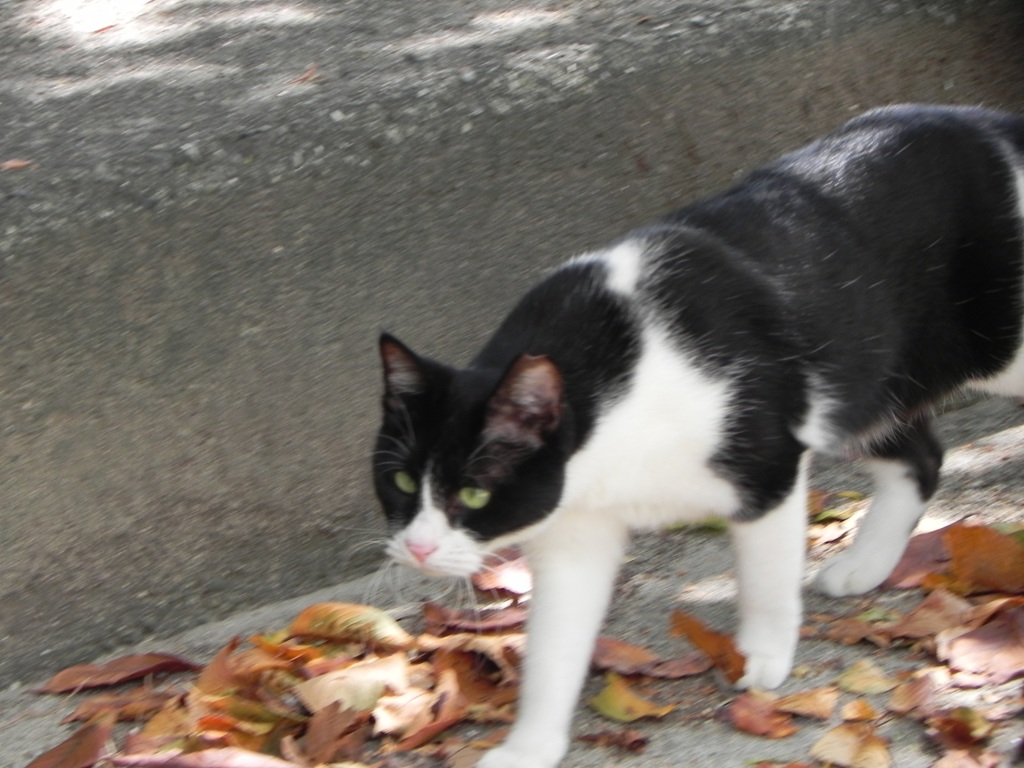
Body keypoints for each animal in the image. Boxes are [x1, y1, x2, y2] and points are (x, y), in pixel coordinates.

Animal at [373, 104, 1024, 768]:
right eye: (399, 480)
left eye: (474, 493)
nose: (417, 548)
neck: (615, 397)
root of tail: (989, 120)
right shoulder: (573, 528)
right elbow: (554, 647)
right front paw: (529, 747)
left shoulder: (765, 466)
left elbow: (765, 578)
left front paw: (761, 656)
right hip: (871, 378)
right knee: (922, 455)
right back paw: (865, 565)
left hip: (993, 347)